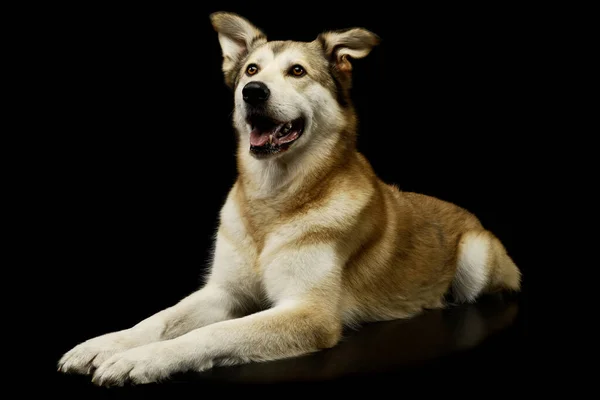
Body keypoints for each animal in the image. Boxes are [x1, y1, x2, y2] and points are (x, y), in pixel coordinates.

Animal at [58, 12, 524, 386]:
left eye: (297, 71)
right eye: (251, 69)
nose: (253, 91)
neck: (273, 200)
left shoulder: (308, 313)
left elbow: (214, 333)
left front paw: (145, 359)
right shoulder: (222, 292)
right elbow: (160, 317)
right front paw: (105, 344)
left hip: (476, 258)